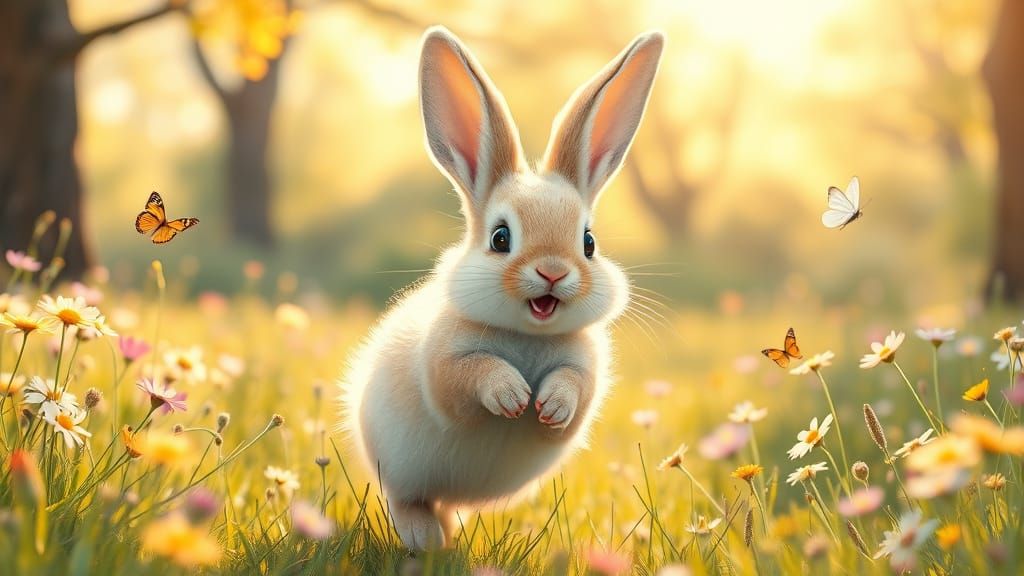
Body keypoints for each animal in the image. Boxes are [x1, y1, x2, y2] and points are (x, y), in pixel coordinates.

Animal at [341, 26, 664, 550]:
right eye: (500, 238)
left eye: (588, 242)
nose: (553, 272)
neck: (527, 335)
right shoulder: (444, 367)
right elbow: (471, 374)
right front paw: (513, 397)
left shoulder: (585, 370)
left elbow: (574, 388)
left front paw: (549, 405)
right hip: (403, 481)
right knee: (410, 506)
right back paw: (428, 546)